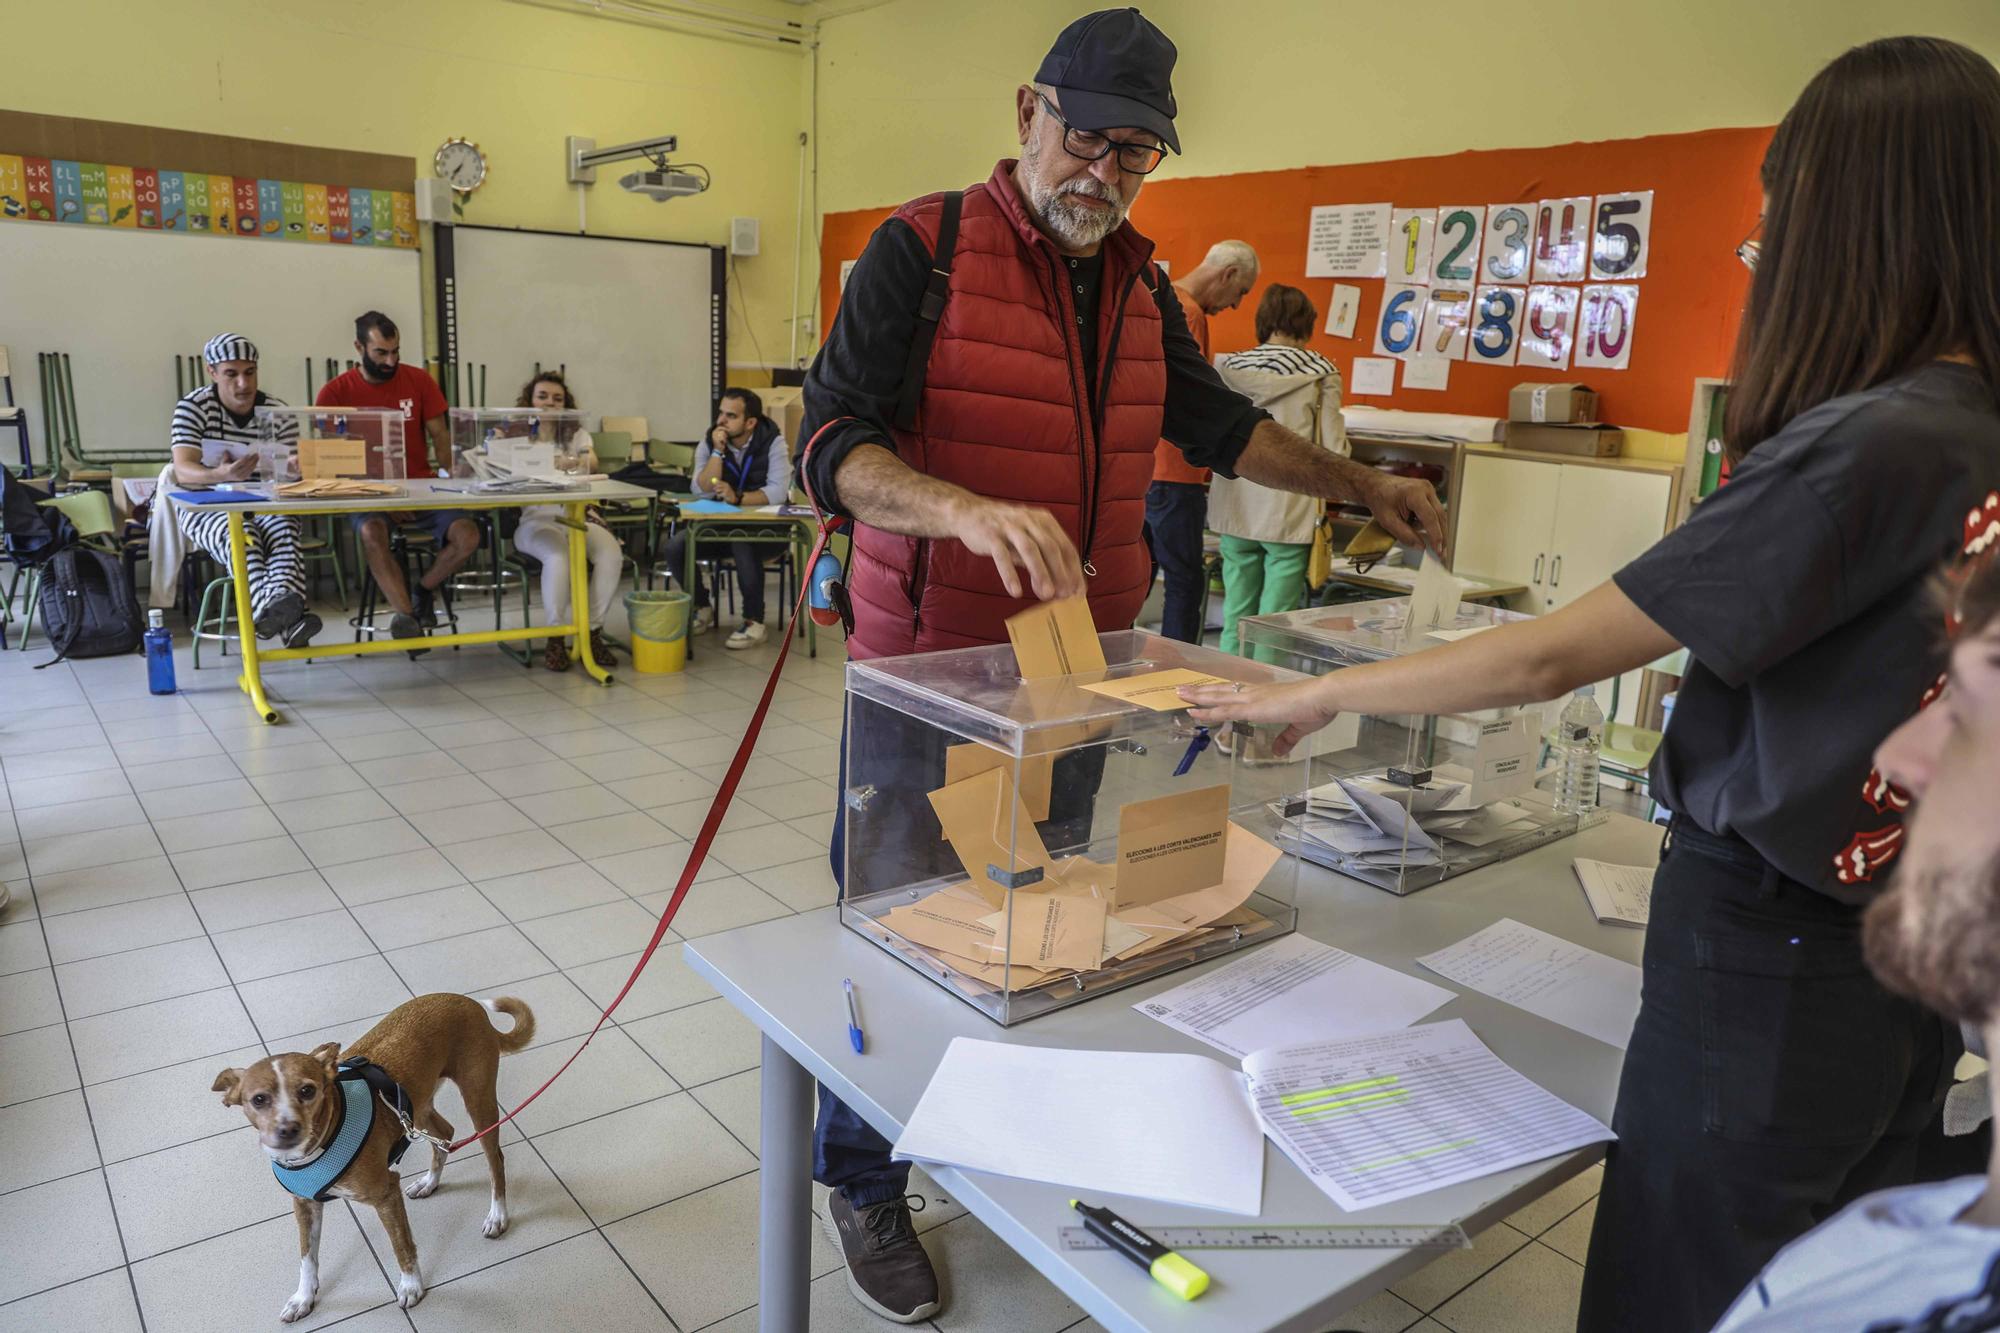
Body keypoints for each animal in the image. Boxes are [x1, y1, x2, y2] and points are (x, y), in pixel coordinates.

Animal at [215, 992, 536, 1312]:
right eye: (258, 1100)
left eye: (307, 1091)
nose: (287, 1130)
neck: (318, 1147)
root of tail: (468, 1002)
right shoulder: (305, 1204)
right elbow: (307, 1256)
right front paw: (303, 1297)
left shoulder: (386, 1194)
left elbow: (401, 1245)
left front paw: (411, 1285)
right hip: (416, 1108)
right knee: (444, 1134)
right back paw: (429, 1182)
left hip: (478, 1098)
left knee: (495, 1159)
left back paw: (497, 1215)